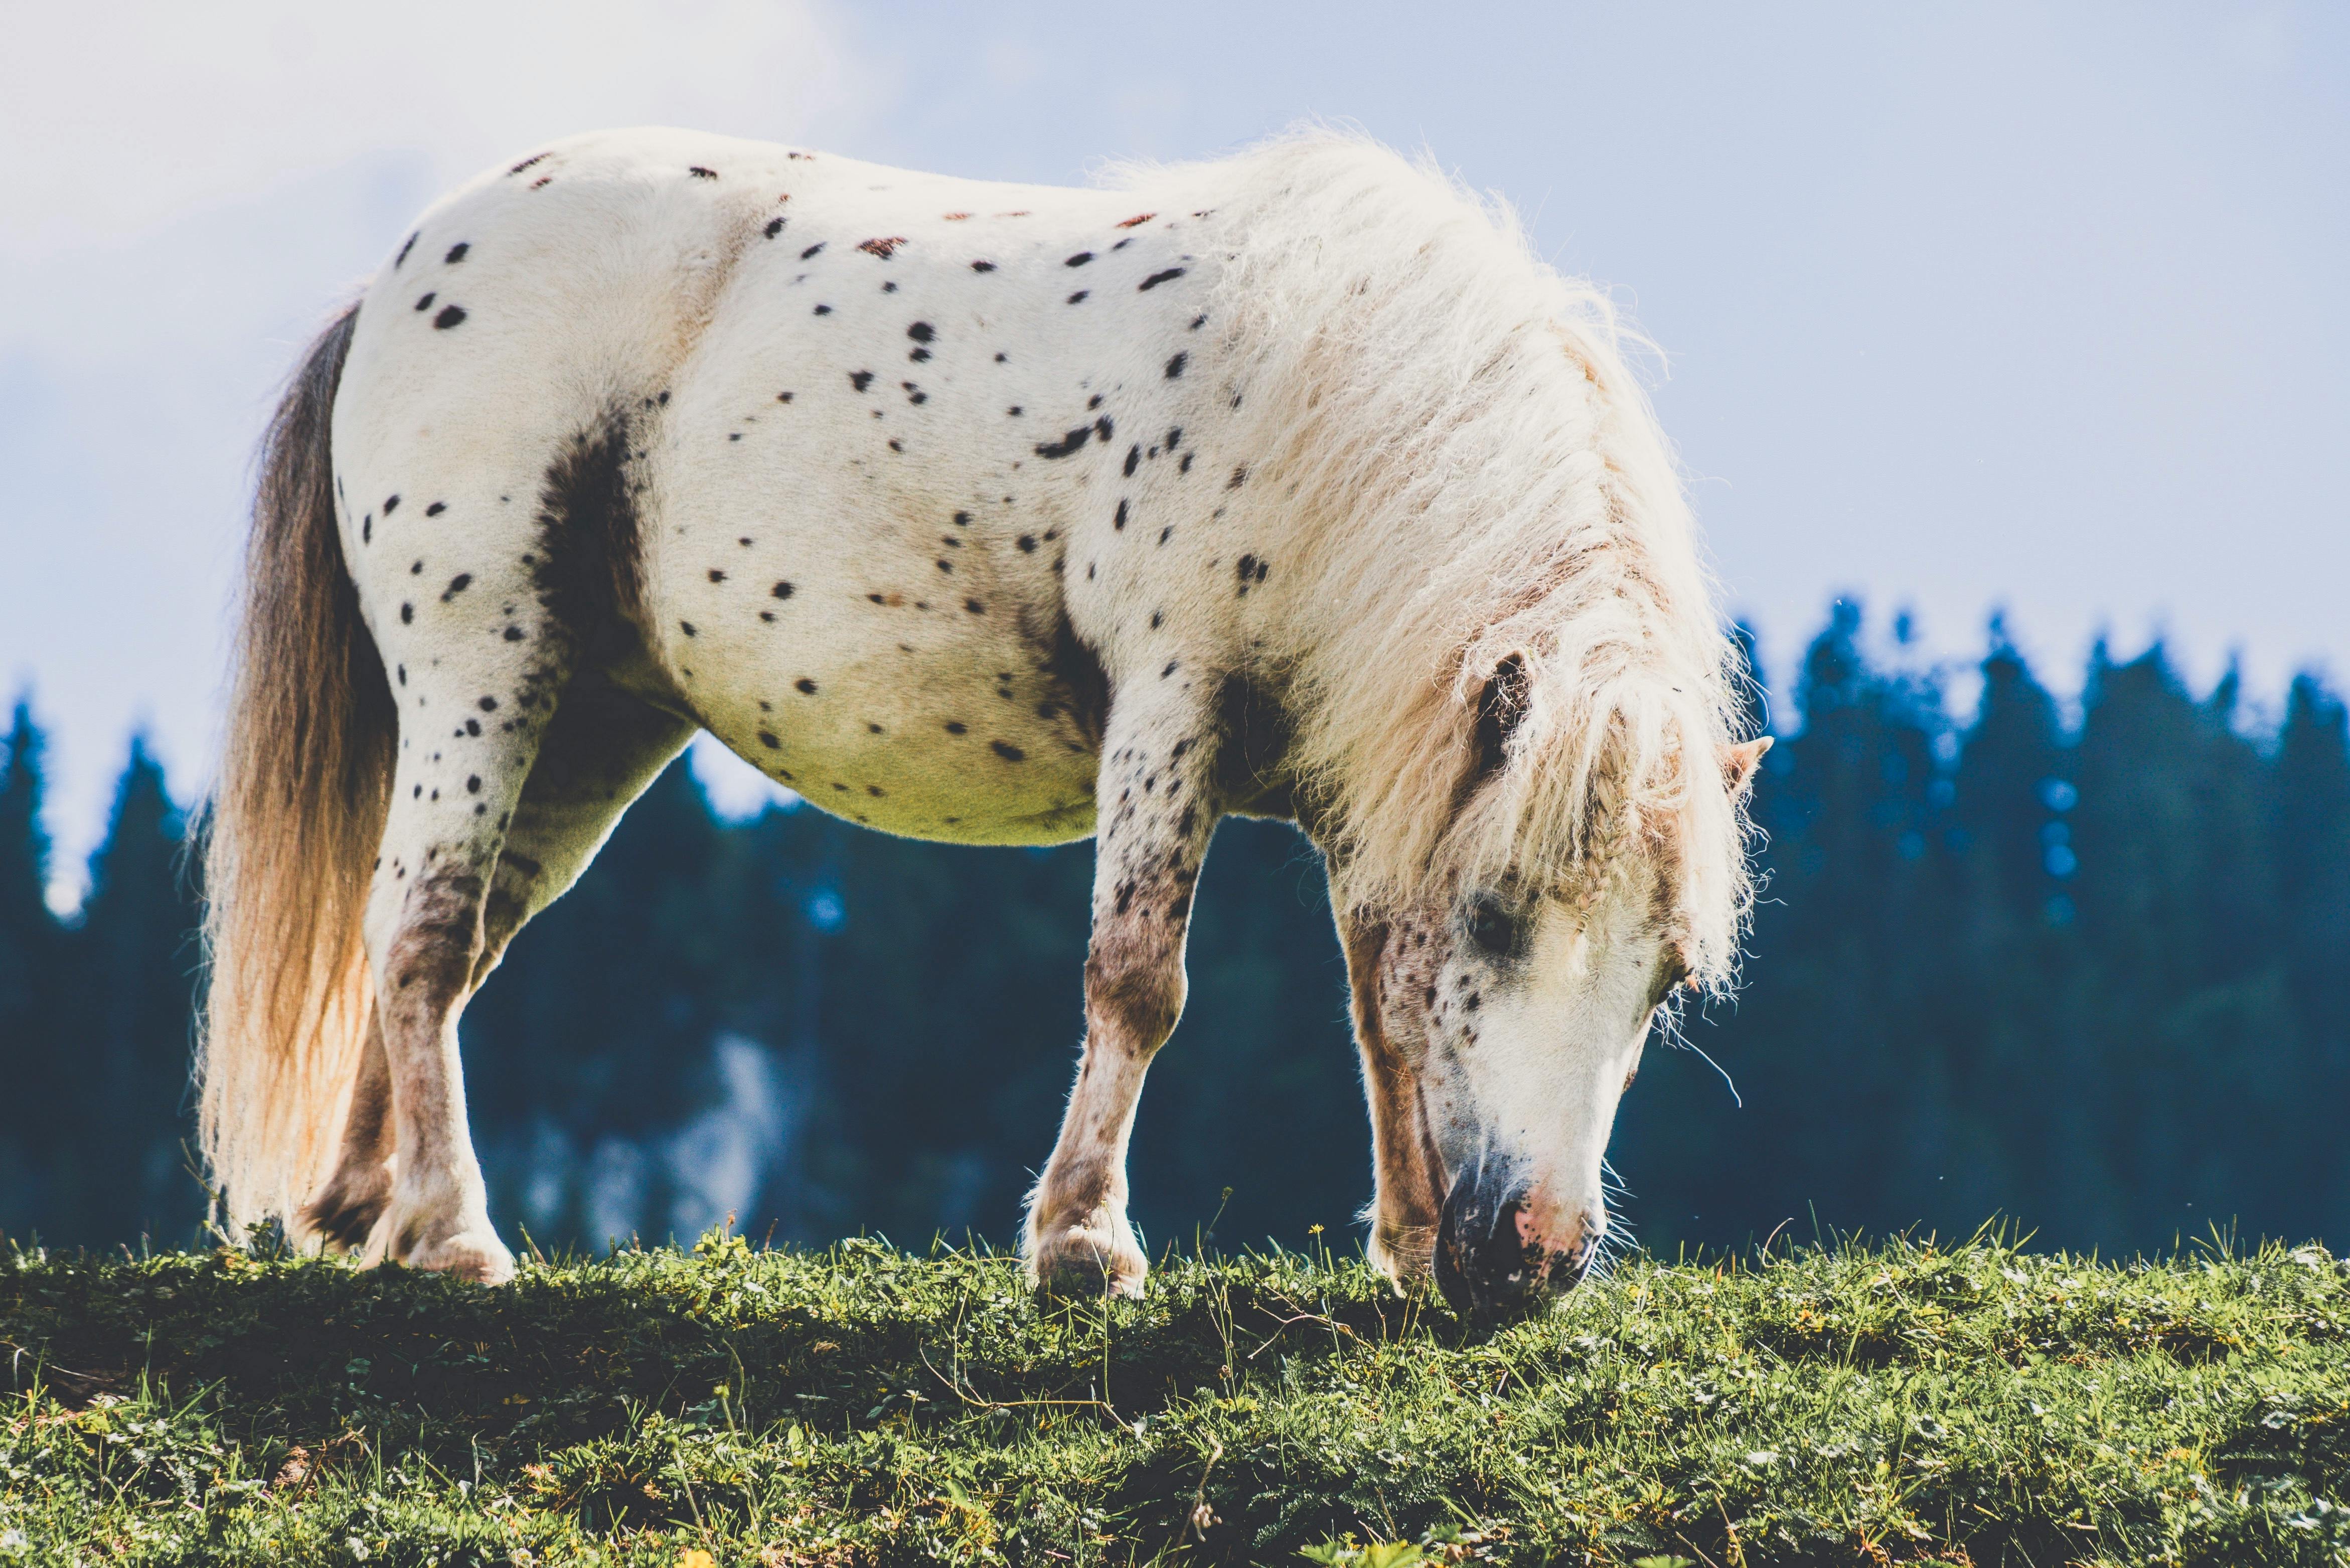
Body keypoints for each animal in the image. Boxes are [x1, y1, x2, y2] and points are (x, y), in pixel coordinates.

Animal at [197, 127, 1766, 1319]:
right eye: (1504, 918)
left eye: (1669, 978)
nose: (1534, 1258)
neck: (1342, 412)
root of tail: (396, 279)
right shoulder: (1172, 710)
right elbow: (1138, 979)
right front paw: (1083, 1242)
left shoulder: (1373, 788)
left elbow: (1383, 1007)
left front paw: (1409, 1238)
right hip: (483, 671)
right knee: (421, 925)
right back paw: (452, 1234)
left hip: (589, 728)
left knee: (450, 938)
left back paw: (364, 1207)